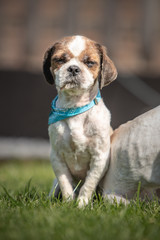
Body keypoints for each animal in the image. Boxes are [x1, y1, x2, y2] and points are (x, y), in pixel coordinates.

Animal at [43, 34, 117, 207]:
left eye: (90, 62)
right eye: (60, 60)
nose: (73, 69)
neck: (75, 107)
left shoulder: (99, 158)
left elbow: (88, 184)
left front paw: (81, 205)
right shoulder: (57, 157)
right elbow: (65, 184)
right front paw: (68, 204)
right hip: (53, 186)